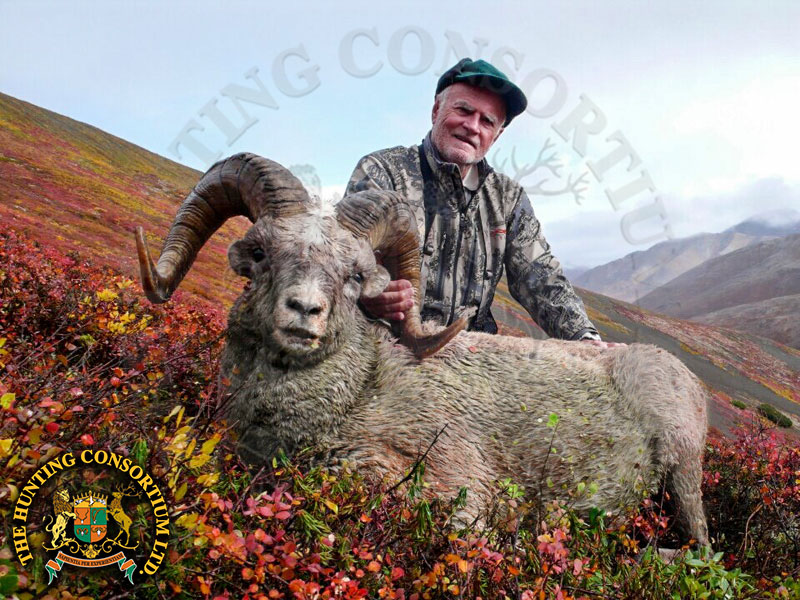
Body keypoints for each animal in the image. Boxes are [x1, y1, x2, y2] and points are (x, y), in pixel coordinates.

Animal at [135, 152, 709, 546]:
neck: (360, 390)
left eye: (355, 275)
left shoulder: (456, 488)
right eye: (259, 252)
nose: (303, 311)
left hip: (684, 475)